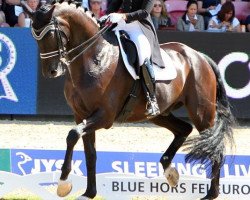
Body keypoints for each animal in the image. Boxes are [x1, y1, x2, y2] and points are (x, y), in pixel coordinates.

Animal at [21, 1, 234, 200]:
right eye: (34, 36)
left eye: (50, 34)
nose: (51, 72)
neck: (95, 57)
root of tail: (199, 56)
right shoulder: (81, 115)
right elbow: (90, 154)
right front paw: (89, 193)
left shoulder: (104, 116)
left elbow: (72, 135)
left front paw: (63, 183)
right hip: (158, 114)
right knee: (184, 129)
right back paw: (170, 171)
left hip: (201, 113)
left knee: (214, 146)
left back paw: (211, 193)